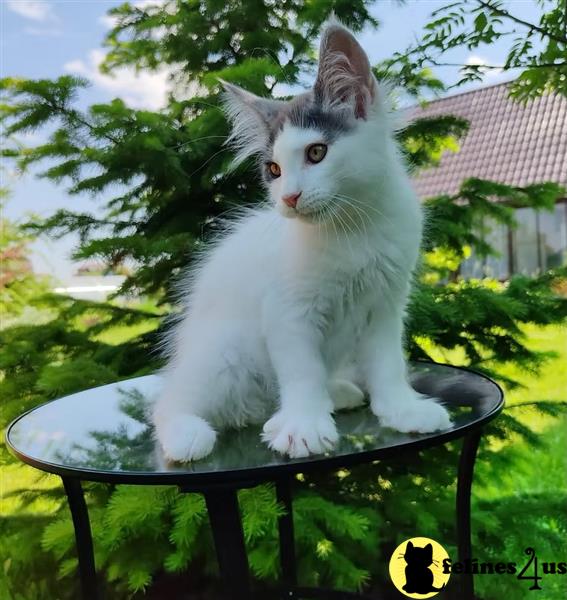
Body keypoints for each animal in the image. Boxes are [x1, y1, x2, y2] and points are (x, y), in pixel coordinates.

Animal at [154, 17, 452, 460]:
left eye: (316, 153)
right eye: (274, 170)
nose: (289, 198)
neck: (352, 230)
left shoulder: (386, 304)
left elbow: (387, 364)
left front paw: (402, 410)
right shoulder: (287, 313)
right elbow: (302, 372)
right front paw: (304, 427)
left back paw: (333, 395)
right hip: (222, 354)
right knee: (169, 402)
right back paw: (187, 433)